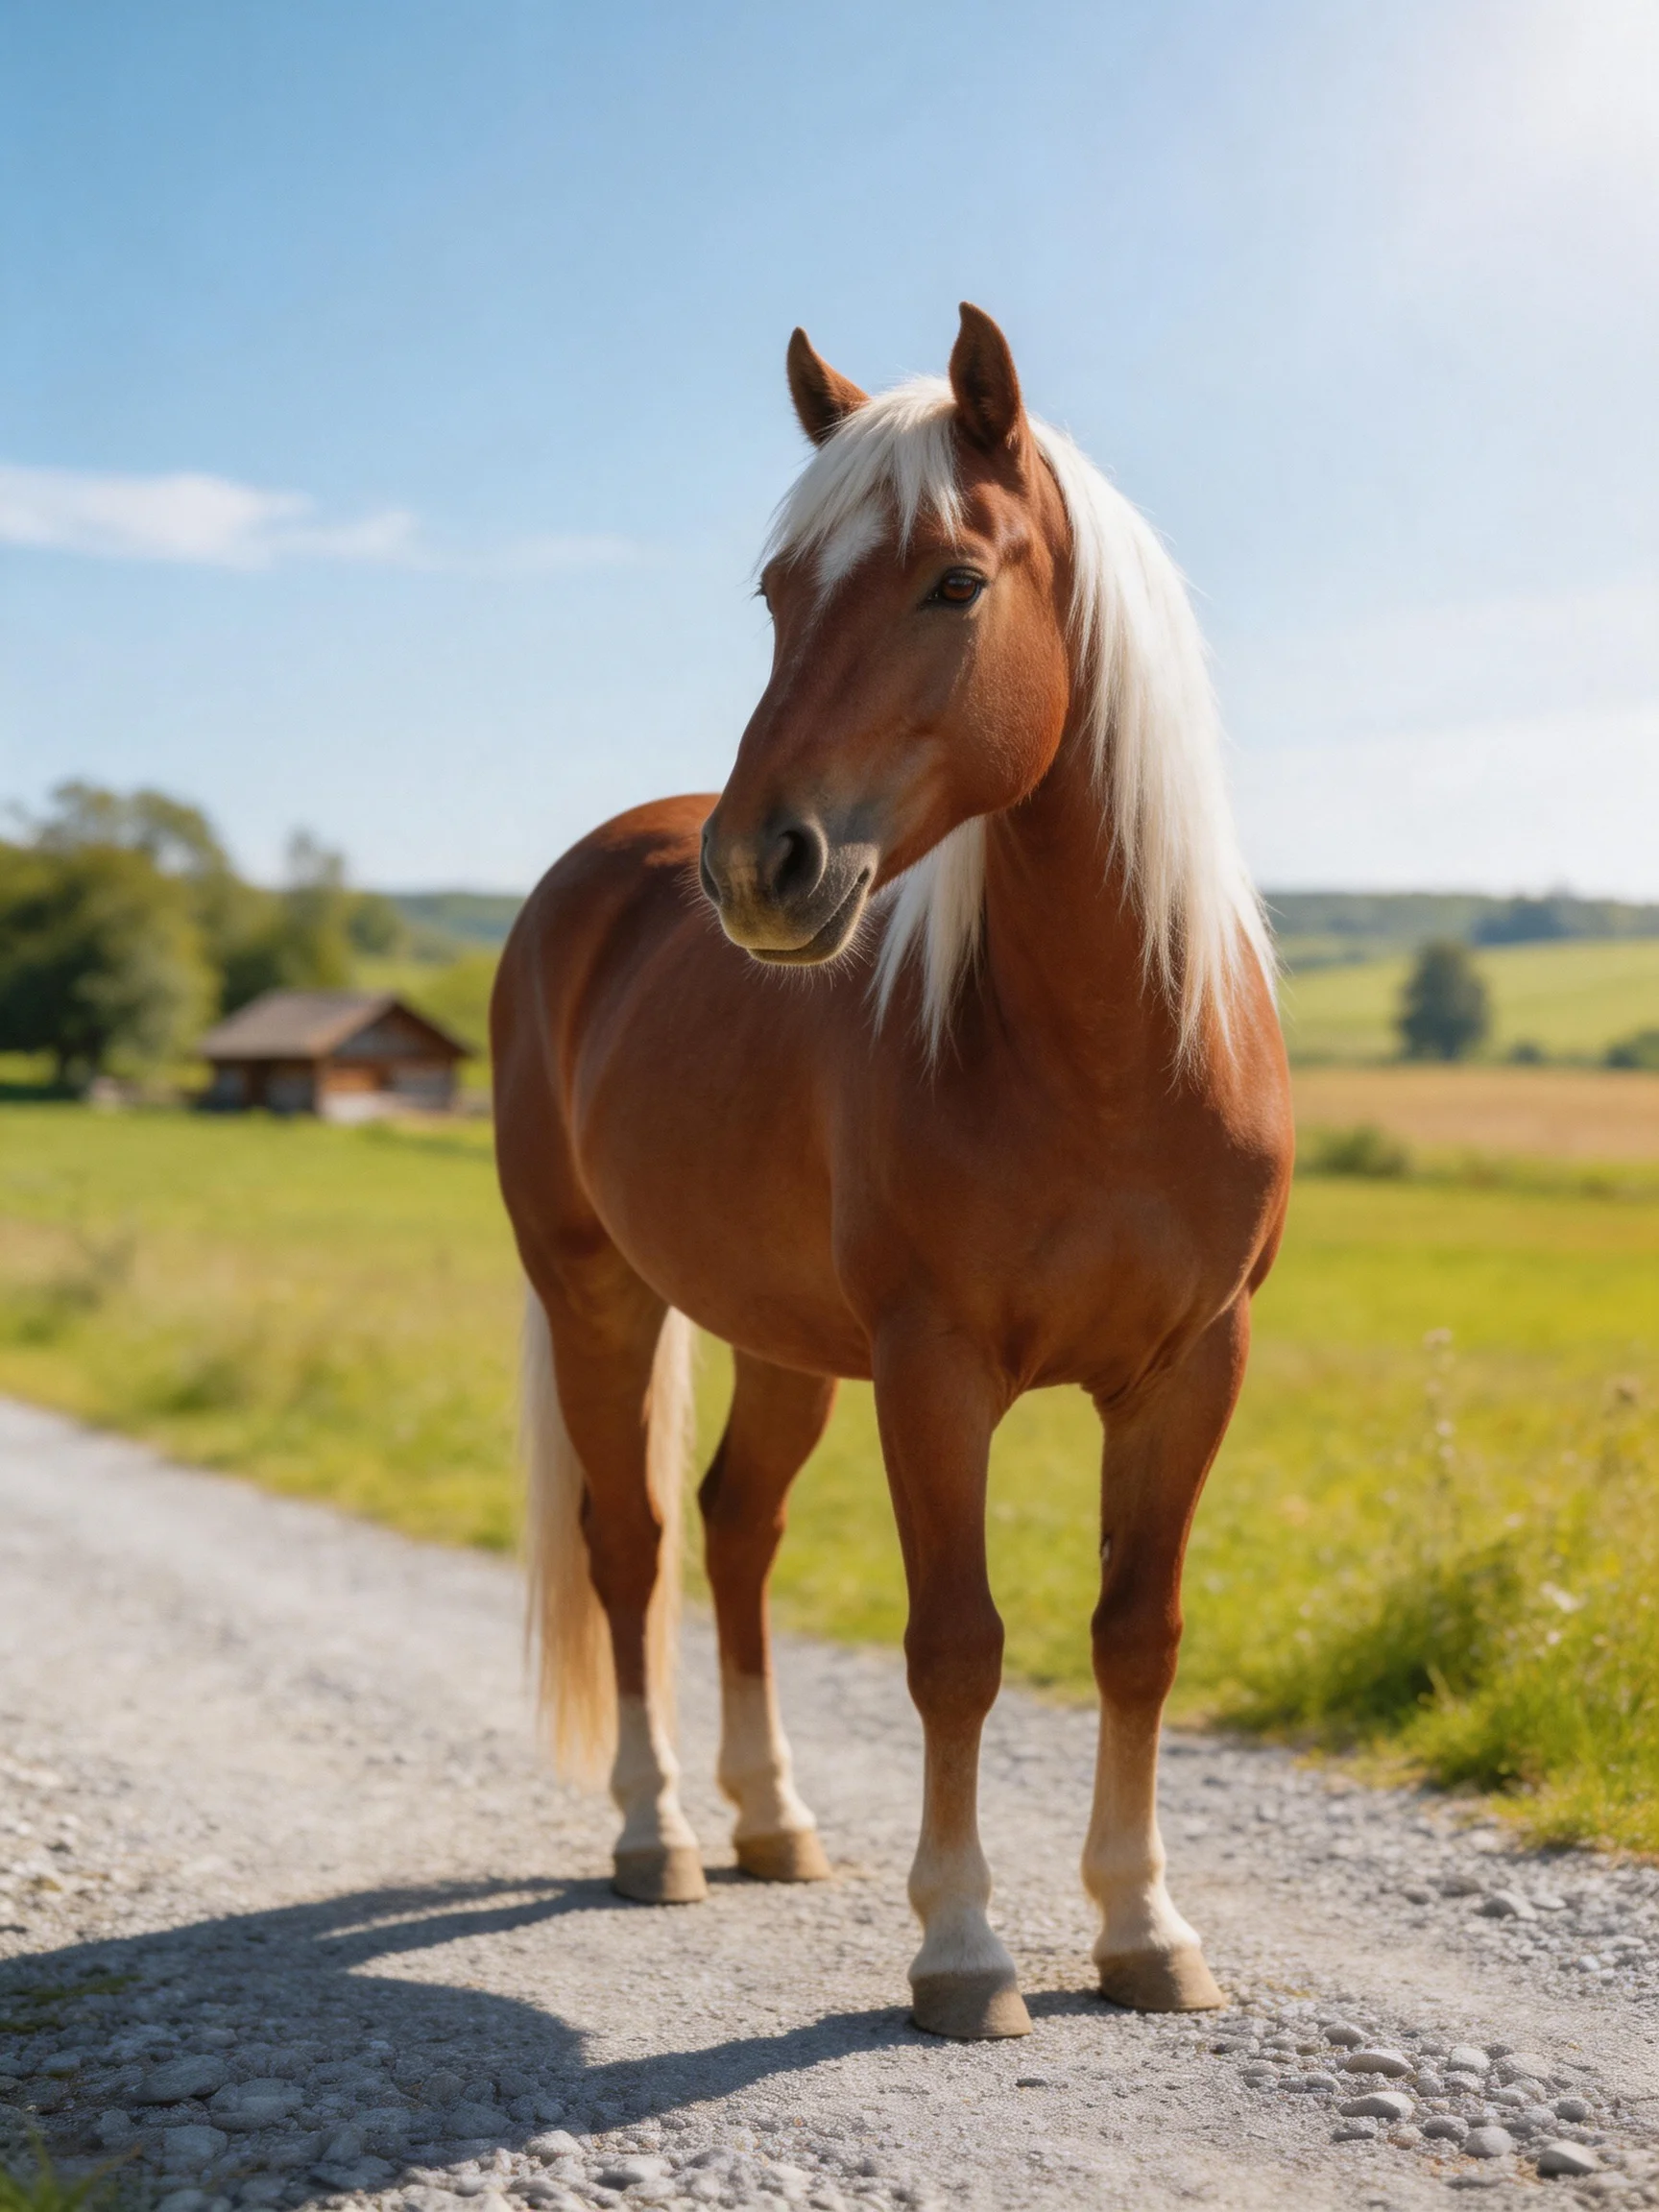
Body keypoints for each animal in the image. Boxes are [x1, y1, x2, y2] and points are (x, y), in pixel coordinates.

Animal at [491, 304, 1293, 2041]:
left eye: (955, 583)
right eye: (777, 593)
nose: (755, 867)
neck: (1109, 1052)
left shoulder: (1193, 1368)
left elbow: (1137, 1634)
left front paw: (1144, 1927)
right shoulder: (936, 1369)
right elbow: (957, 1645)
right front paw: (963, 1948)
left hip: (781, 1337)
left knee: (733, 1527)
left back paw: (771, 1819)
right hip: (598, 1294)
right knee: (631, 1543)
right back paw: (657, 1832)